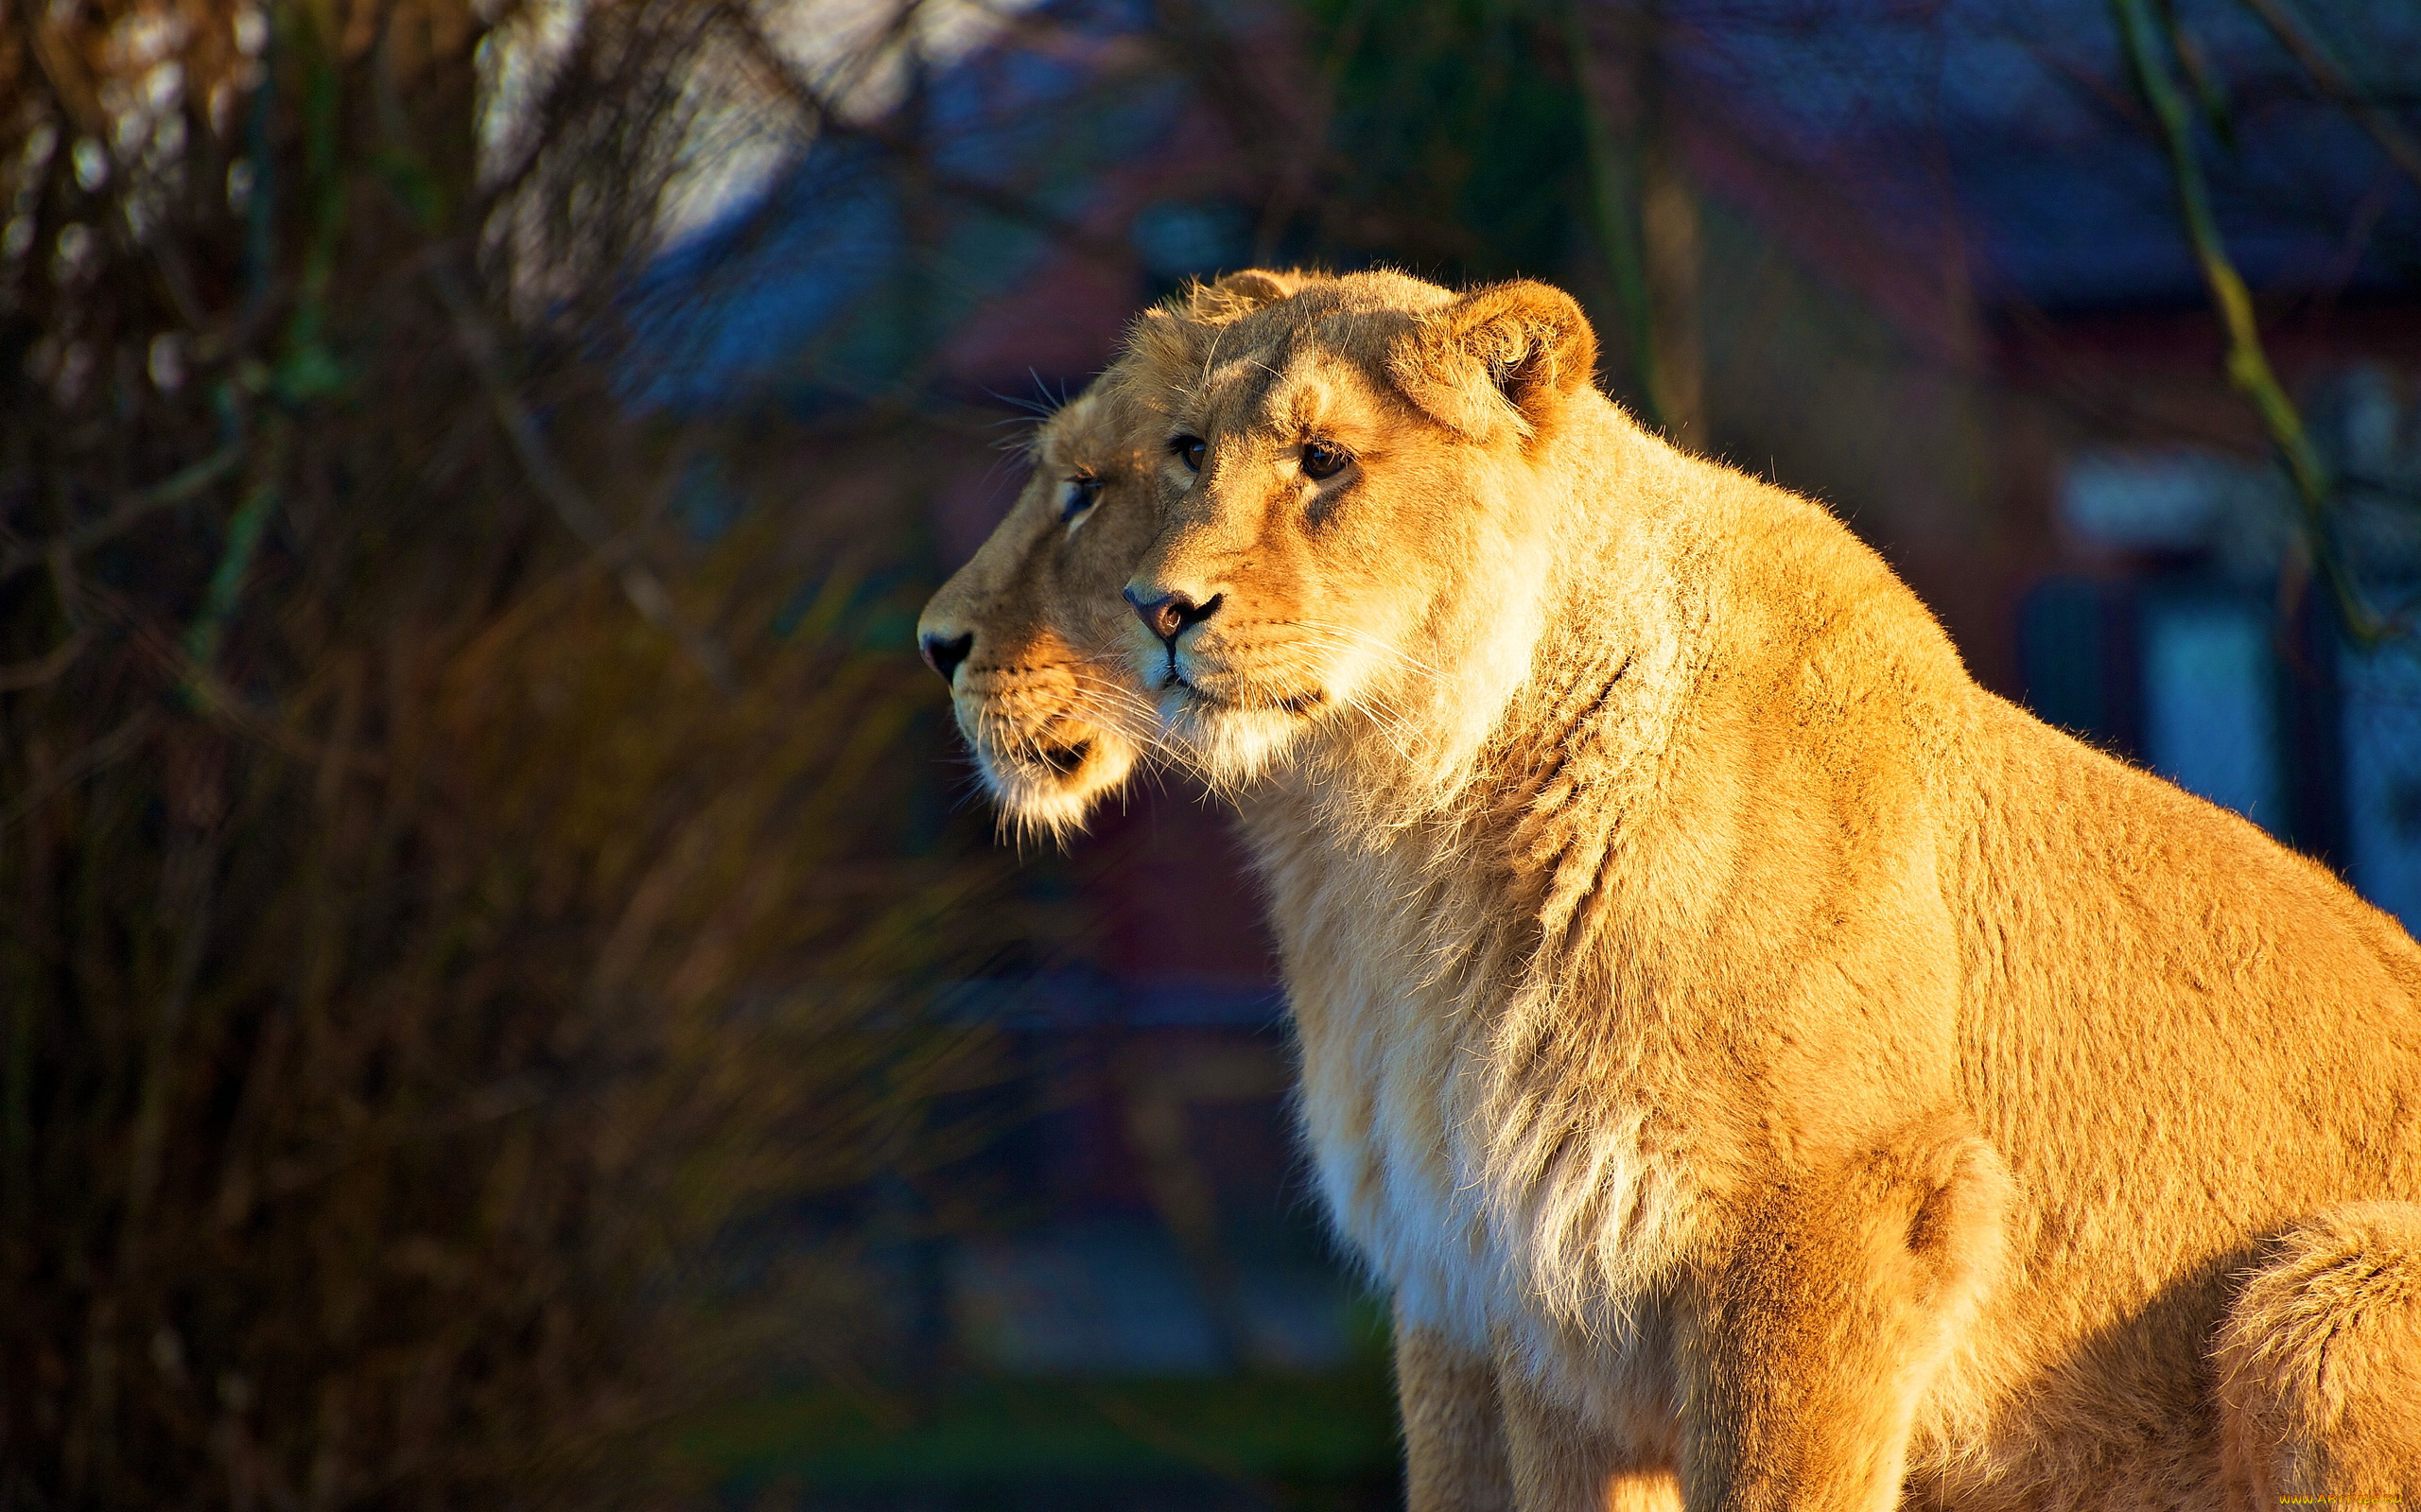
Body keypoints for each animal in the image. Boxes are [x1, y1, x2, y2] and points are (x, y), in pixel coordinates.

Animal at [1084, 274, 2421, 1509]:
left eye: (1324, 463)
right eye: (1188, 451)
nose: (1157, 607)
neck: (1401, 836)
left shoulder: (1838, 1218)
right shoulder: (1530, 1302)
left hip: (2323, 1293)